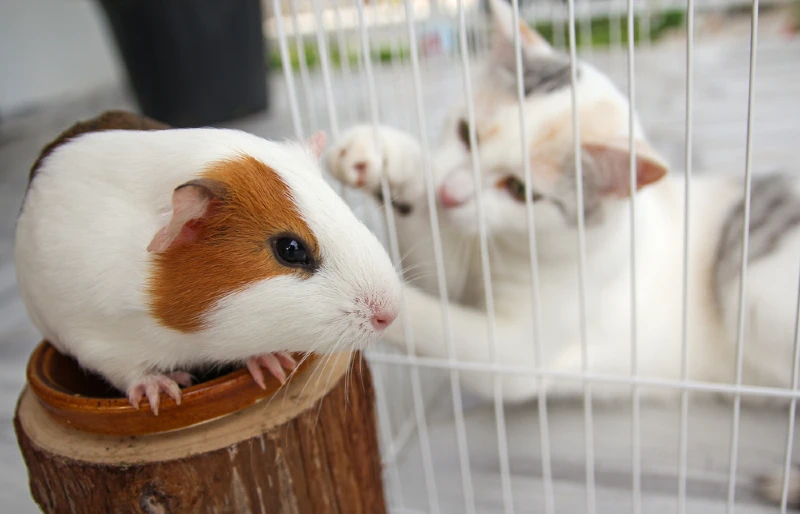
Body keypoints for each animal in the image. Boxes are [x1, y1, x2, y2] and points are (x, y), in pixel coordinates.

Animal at [324, 0, 800, 402]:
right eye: (466, 133)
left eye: (520, 190)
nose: (449, 194)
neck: (508, 246)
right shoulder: (459, 265)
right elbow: (433, 267)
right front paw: (386, 156)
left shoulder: (520, 355)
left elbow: (434, 317)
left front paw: (357, 308)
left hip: (754, 297)